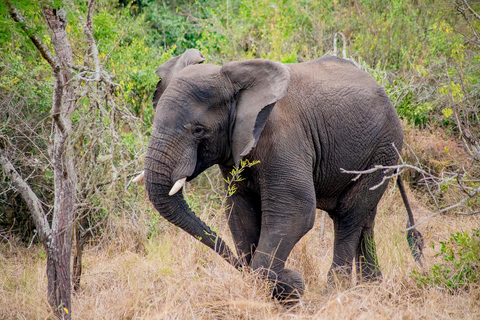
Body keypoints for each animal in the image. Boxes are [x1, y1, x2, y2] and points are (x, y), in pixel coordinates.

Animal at [142, 48, 424, 302]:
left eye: (199, 130)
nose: (292, 276)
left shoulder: (284, 138)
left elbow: (295, 212)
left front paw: (288, 286)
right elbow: (239, 213)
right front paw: (275, 286)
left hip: (384, 147)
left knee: (348, 216)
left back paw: (336, 293)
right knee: (365, 217)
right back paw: (369, 290)